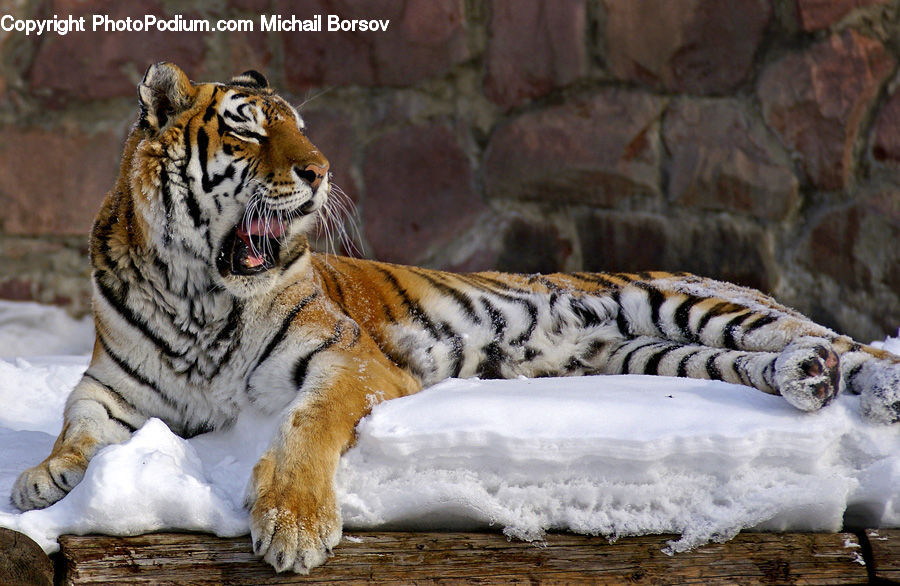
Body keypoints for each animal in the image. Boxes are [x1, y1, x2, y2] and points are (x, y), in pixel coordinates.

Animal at [10, 62, 900, 574]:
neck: (197, 289)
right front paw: (44, 477)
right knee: (770, 359)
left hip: (681, 300)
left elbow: (304, 425)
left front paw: (293, 525)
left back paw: (869, 383)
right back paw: (807, 382)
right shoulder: (112, 383)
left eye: (301, 127)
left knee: (831, 338)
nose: (321, 170)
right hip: (661, 354)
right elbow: (78, 422)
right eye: (249, 130)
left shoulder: (347, 358)